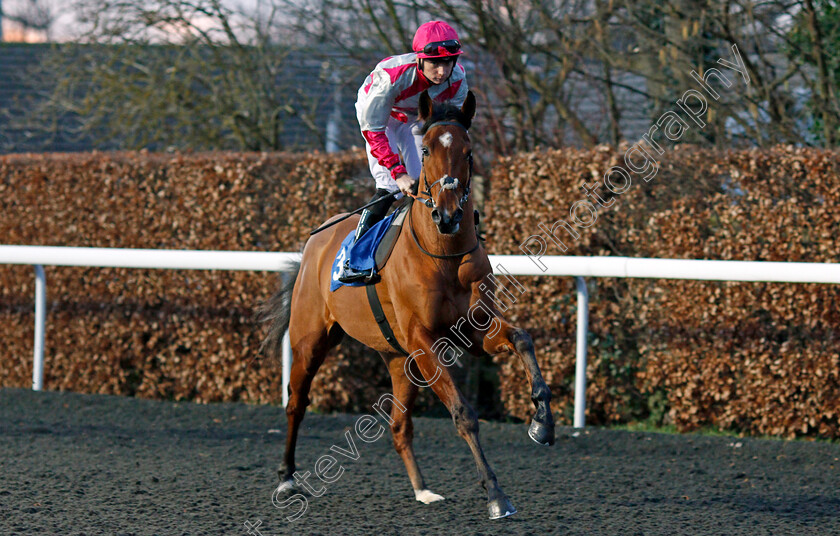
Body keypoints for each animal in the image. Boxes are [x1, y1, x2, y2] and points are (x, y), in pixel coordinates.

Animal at [260, 89, 556, 520]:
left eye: (468, 151)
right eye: (427, 149)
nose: (447, 214)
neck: (443, 254)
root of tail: (316, 240)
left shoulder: (473, 330)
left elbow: (522, 339)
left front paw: (542, 423)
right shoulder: (425, 340)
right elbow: (464, 414)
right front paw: (495, 494)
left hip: (400, 360)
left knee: (399, 425)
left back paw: (423, 490)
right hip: (311, 340)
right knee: (296, 403)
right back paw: (286, 479)